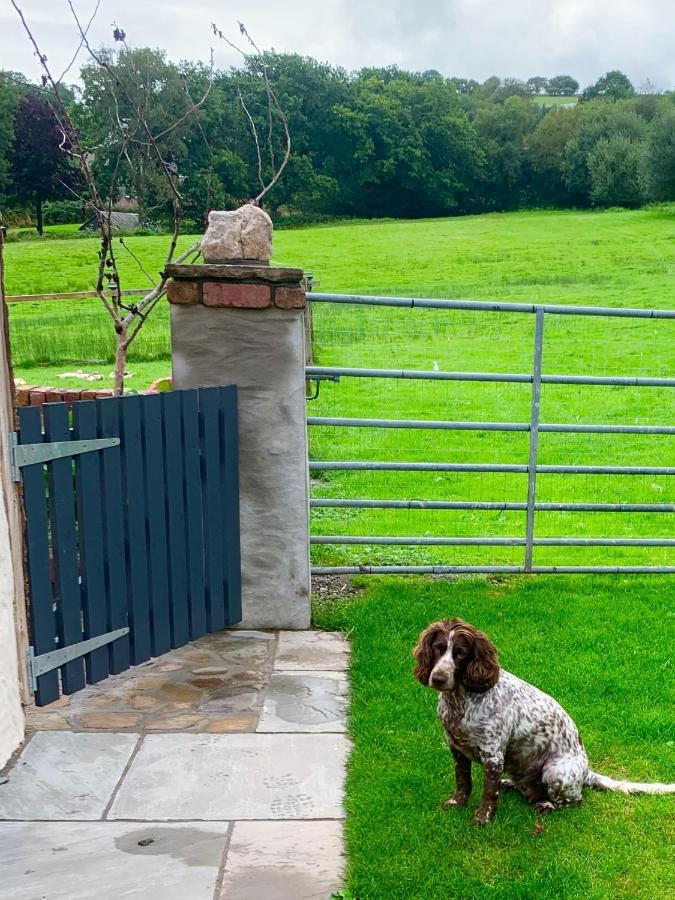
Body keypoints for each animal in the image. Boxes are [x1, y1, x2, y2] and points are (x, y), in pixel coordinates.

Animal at [412, 620, 675, 824]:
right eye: (437, 648)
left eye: (460, 653)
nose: (438, 678)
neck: (461, 701)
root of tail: (587, 772)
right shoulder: (456, 748)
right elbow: (463, 780)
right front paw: (458, 802)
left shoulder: (493, 756)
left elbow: (488, 793)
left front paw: (483, 818)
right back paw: (510, 784)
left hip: (554, 771)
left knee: (574, 800)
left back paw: (546, 805)